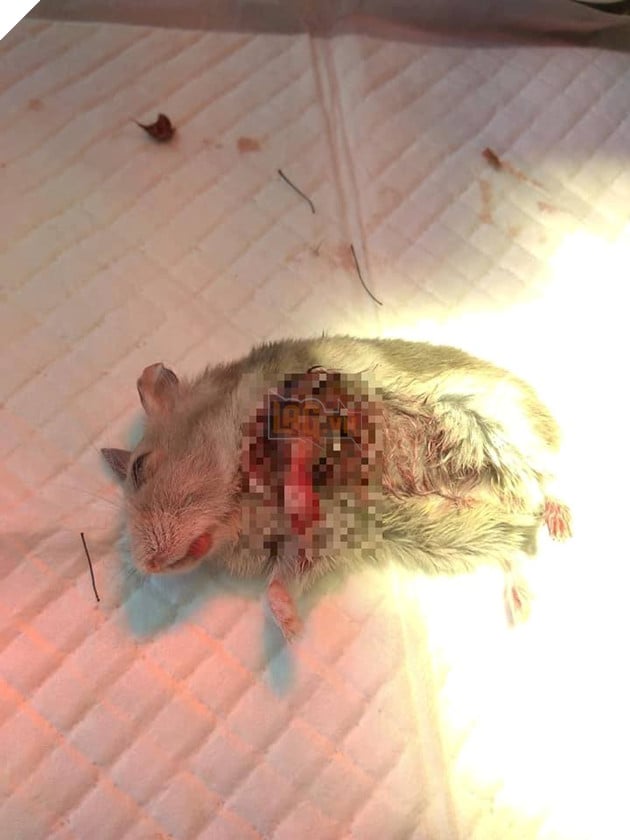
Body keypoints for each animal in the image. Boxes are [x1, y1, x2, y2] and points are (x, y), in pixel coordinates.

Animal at [102, 335, 572, 640]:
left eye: (140, 468)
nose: (147, 565)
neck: (243, 505)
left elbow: (298, 442)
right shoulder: (317, 541)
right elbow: (281, 584)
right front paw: (292, 629)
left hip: (501, 426)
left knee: (545, 480)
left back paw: (560, 526)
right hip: (474, 534)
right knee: (517, 547)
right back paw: (523, 606)